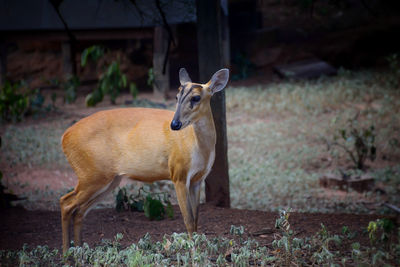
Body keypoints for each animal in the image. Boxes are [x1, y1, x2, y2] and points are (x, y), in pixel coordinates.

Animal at [59, 68, 228, 254]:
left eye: (196, 97)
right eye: (177, 96)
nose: (175, 124)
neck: (198, 147)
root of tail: (64, 137)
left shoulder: (198, 179)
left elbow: (196, 220)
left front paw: (198, 251)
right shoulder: (178, 174)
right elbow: (188, 220)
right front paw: (194, 254)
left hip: (108, 180)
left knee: (79, 211)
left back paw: (78, 252)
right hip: (92, 174)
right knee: (66, 203)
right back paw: (66, 254)